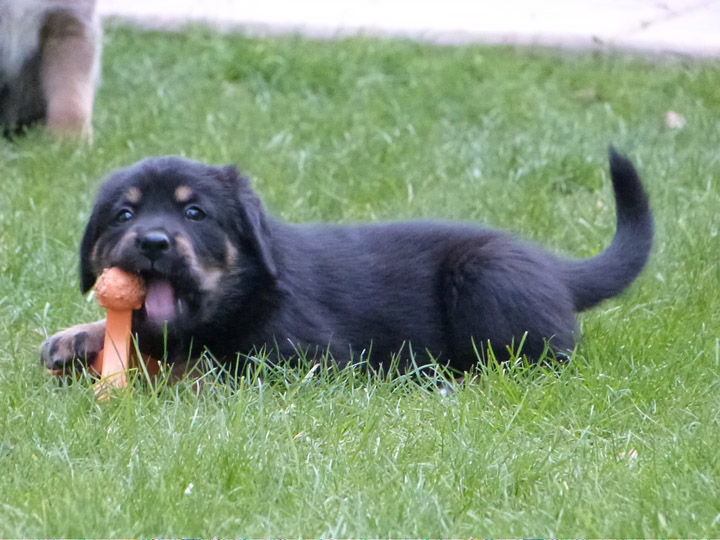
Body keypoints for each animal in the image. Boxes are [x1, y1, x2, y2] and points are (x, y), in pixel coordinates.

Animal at [42, 150, 656, 374]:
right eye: (123, 215)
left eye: (195, 213)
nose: (152, 242)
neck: (250, 288)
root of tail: (555, 268)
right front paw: (76, 337)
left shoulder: (305, 360)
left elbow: (206, 367)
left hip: (487, 273)